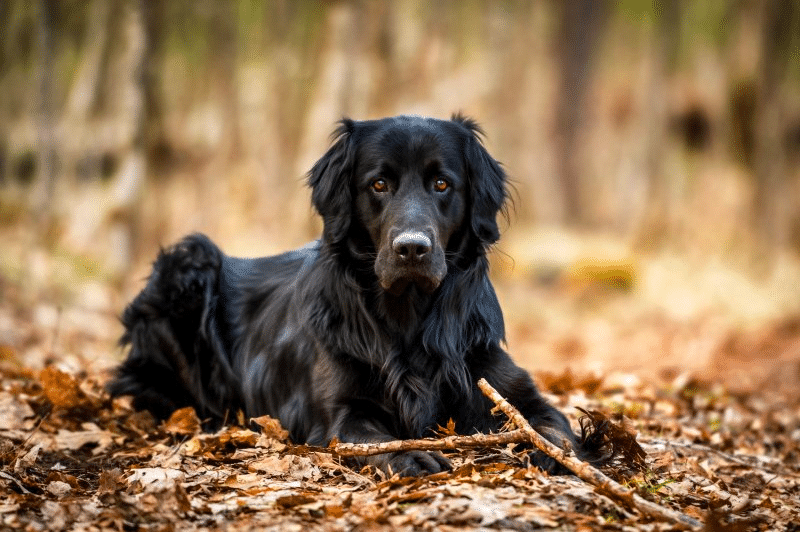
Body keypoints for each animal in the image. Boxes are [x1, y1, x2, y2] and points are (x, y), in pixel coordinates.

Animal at [111, 115, 600, 474]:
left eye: (442, 184)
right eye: (378, 184)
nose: (411, 249)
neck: (407, 316)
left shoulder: (507, 386)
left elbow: (551, 424)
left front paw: (553, 453)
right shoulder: (341, 412)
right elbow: (375, 438)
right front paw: (414, 455)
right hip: (190, 262)